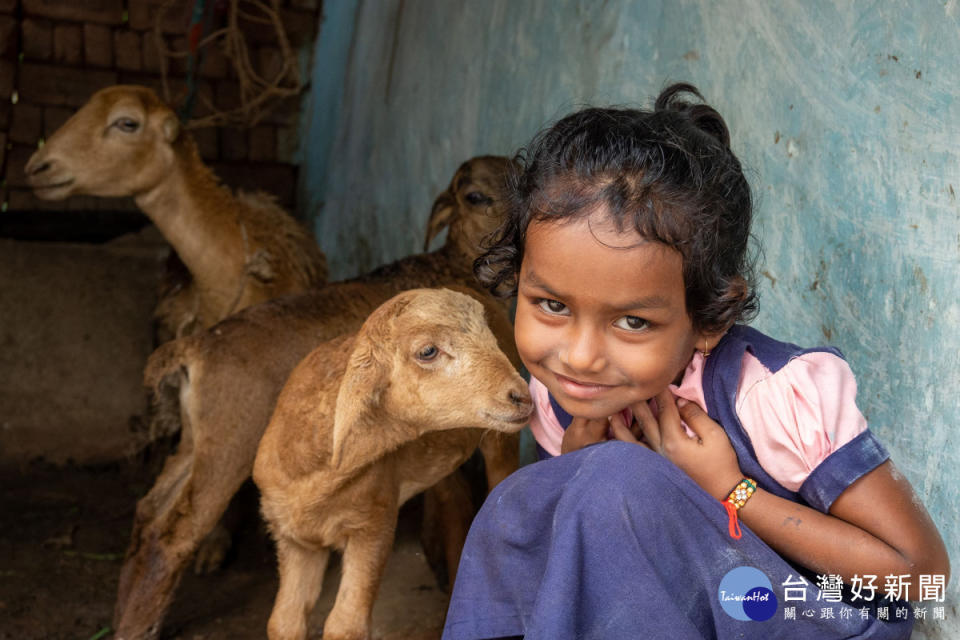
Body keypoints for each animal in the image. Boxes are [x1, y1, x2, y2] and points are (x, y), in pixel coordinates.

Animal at [253, 290, 532, 640]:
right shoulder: (293, 539)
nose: (522, 396)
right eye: (427, 351)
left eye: (487, 335)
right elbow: (283, 622)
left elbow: (345, 625)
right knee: (454, 501)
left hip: (498, 440)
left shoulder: (373, 524)